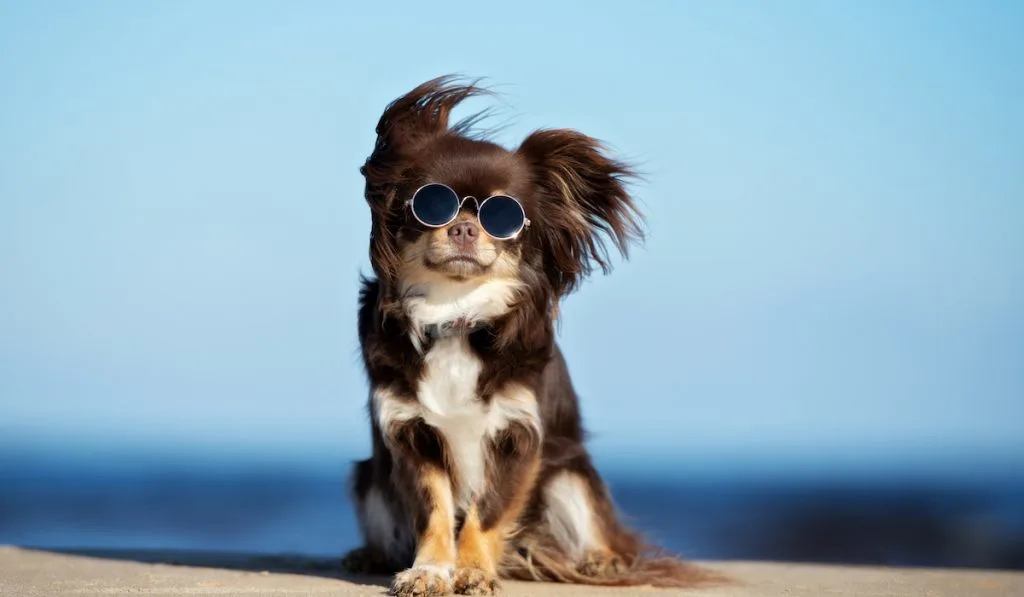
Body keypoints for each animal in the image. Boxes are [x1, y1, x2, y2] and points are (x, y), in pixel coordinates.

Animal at [344, 77, 720, 593]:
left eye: (503, 215)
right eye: (429, 205)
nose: (464, 228)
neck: (457, 316)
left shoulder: (519, 438)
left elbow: (486, 511)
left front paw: (473, 570)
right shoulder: (412, 436)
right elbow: (434, 511)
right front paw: (430, 570)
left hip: (569, 473)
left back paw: (600, 560)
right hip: (368, 477)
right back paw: (370, 554)